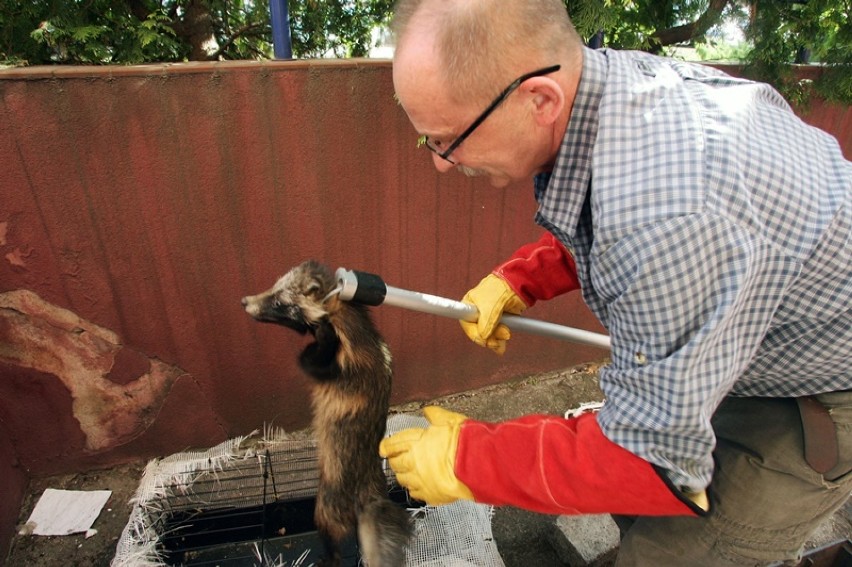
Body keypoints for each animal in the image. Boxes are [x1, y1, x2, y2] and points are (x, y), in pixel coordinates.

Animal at [240, 262, 412, 567]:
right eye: (273, 287)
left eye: (280, 302)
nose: (244, 301)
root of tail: (369, 488)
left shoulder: (344, 366)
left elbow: (311, 361)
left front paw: (321, 336)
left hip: (328, 500)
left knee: (329, 532)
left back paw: (329, 556)